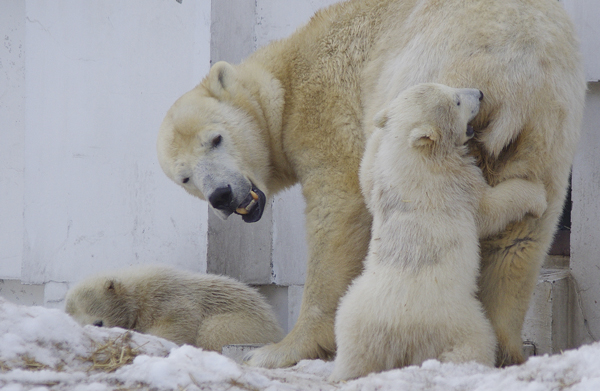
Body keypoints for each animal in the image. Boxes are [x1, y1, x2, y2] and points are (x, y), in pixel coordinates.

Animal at [330, 84, 552, 382]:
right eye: (457, 101)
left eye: (451, 87)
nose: (479, 93)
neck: (416, 158)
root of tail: (400, 329)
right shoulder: (454, 183)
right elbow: (490, 209)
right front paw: (536, 197)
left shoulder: (383, 185)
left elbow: (365, 178)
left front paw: (379, 126)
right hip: (452, 316)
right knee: (476, 337)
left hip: (356, 315)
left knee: (353, 347)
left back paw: (341, 373)